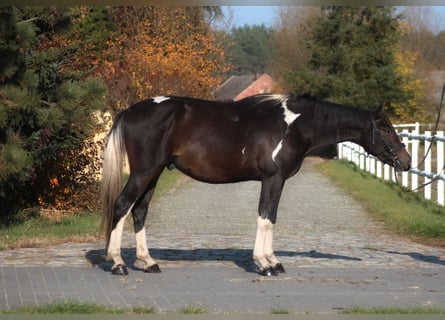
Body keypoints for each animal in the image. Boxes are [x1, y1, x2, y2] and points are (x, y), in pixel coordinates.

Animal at [99, 92, 410, 276]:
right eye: (385, 128)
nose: (406, 161)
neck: (294, 125)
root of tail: (130, 111)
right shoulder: (273, 178)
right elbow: (265, 218)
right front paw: (263, 264)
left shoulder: (276, 181)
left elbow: (271, 218)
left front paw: (273, 261)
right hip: (144, 172)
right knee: (123, 206)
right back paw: (118, 263)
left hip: (154, 174)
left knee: (140, 211)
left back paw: (148, 262)